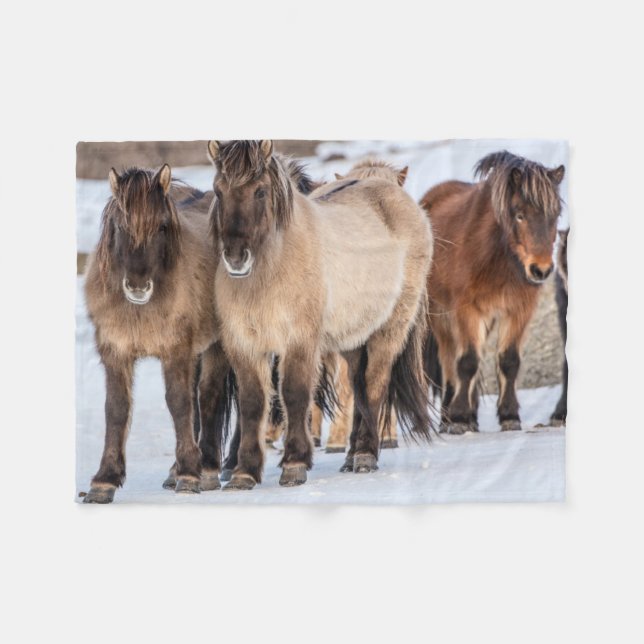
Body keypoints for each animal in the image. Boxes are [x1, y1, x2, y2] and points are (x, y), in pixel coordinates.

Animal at [82, 165, 232, 502]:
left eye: (162, 227)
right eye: (120, 226)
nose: (138, 287)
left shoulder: (175, 350)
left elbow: (179, 403)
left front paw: (189, 474)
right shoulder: (116, 352)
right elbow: (116, 409)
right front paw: (104, 480)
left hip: (216, 345)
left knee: (209, 396)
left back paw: (208, 468)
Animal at [208, 141, 433, 489]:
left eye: (260, 191)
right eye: (218, 191)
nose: (235, 257)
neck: (272, 269)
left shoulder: (300, 341)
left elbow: (295, 395)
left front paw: (294, 464)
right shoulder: (244, 345)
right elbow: (252, 405)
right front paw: (244, 472)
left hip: (389, 329)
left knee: (375, 384)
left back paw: (365, 455)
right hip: (353, 338)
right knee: (358, 387)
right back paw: (352, 456)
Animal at [420, 151, 565, 434]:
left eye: (555, 214)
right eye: (519, 214)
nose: (541, 270)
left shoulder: (518, 310)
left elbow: (509, 361)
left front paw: (509, 416)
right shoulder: (466, 310)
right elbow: (467, 362)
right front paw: (459, 417)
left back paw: (472, 417)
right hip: (441, 317)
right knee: (449, 361)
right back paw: (448, 417)